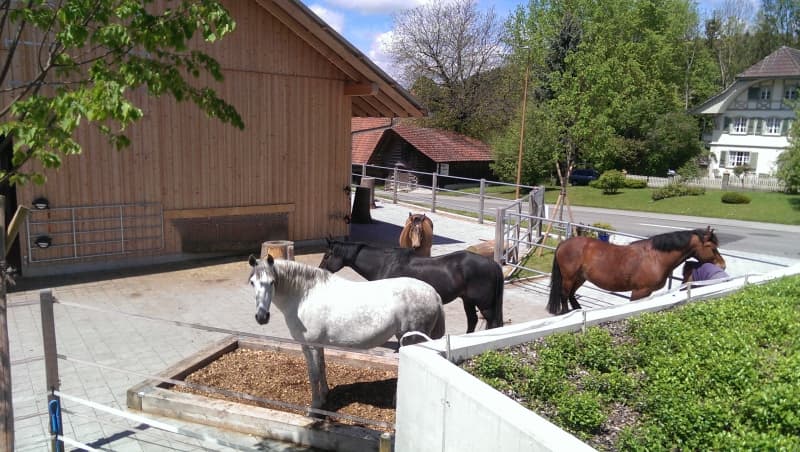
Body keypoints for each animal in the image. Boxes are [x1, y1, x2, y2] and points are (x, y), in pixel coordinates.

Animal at [247, 254, 444, 410]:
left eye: (272, 282)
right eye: (252, 283)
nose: (262, 317)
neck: (304, 295)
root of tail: (434, 293)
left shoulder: (310, 345)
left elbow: (313, 373)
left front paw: (315, 406)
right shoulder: (317, 345)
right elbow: (321, 367)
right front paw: (325, 395)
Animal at [319, 239, 504, 333]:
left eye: (327, 255)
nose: (320, 270)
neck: (384, 263)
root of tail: (492, 264)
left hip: (485, 305)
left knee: (492, 323)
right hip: (468, 300)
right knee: (473, 321)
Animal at [547, 226, 722, 315]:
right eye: (712, 248)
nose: (722, 264)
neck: (655, 257)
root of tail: (564, 243)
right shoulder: (639, 291)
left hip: (580, 278)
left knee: (571, 294)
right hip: (569, 277)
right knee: (564, 295)